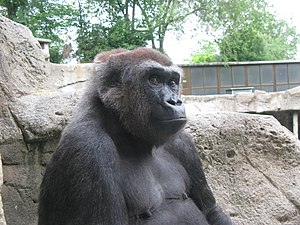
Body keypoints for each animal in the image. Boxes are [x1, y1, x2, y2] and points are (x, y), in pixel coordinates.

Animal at [38, 48, 234, 225]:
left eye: (172, 82)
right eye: (154, 80)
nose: (175, 101)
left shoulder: (182, 142)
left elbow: (210, 210)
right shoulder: (89, 148)